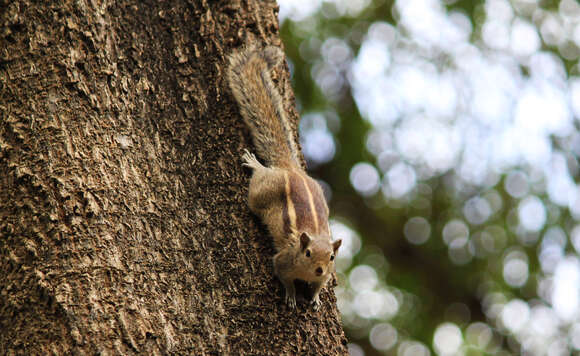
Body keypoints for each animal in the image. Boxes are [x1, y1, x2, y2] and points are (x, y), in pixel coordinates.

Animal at [229, 46, 342, 310]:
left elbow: (318, 287)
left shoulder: (326, 276)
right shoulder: (282, 261)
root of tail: (291, 169)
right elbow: (283, 277)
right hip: (262, 192)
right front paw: (291, 295)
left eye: (332, 257)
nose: (320, 269)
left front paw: (315, 298)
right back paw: (255, 164)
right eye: (308, 253)